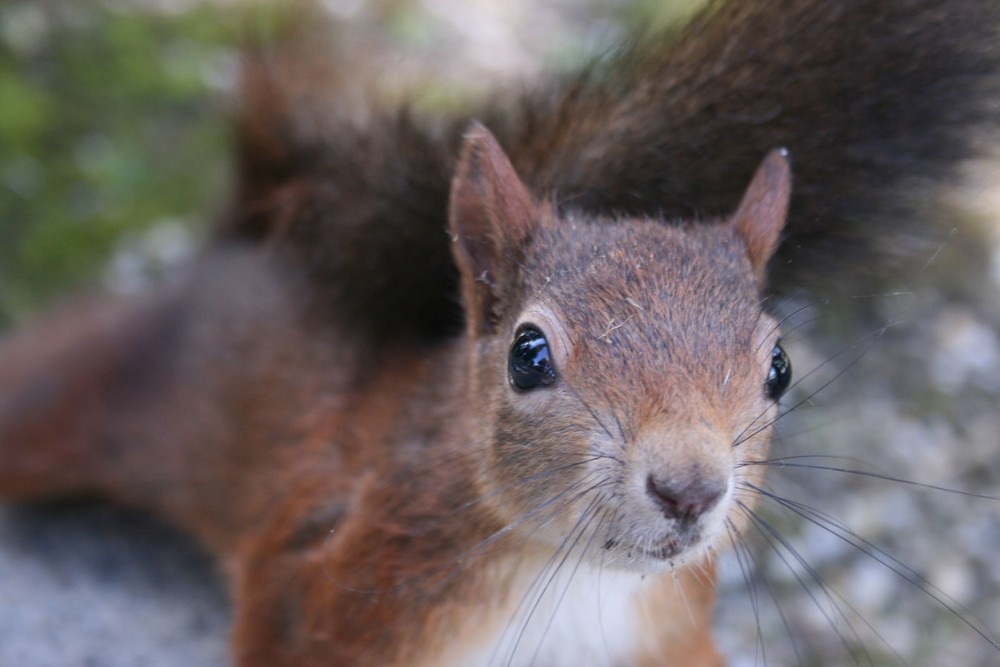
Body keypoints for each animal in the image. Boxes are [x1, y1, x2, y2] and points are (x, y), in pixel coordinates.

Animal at [0, 0, 996, 664]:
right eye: (529, 354)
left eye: (780, 366)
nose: (689, 488)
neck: (574, 581)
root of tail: (252, 231)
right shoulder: (314, 590)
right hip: (88, 395)